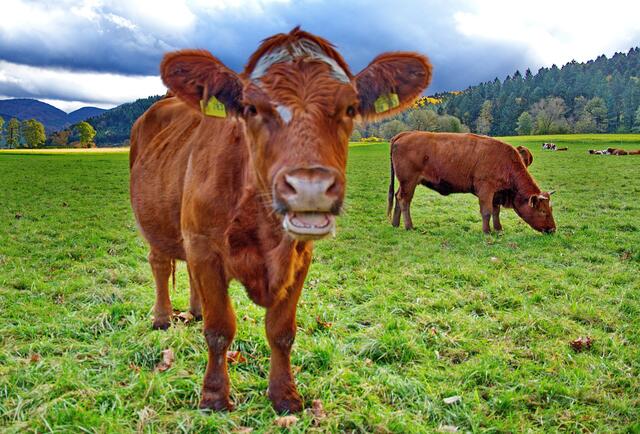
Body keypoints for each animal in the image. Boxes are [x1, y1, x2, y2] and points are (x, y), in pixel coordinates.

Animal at [129, 27, 432, 413]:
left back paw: (193, 311)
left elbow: (281, 330)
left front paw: (284, 394)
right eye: (251, 108)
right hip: (155, 224)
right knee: (159, 262)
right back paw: (162, 318)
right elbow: (219, 329)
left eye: (350, 108)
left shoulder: (299, 257)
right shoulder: (204, 248)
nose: (310, 187)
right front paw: (214, 396)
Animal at [387, 132, 556, 234]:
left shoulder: (496, 193)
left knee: (397, 197)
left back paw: (395, 224)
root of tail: (405, 134)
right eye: (542, 211)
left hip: (404, 184)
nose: (553, 229)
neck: (505, 162)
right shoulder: (486, 190)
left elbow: (496, 211)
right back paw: (409, 226)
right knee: (404, 200)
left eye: (550, 209)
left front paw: (498, 229)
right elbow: (487, 211)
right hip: (409, 182)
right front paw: (487, 231)